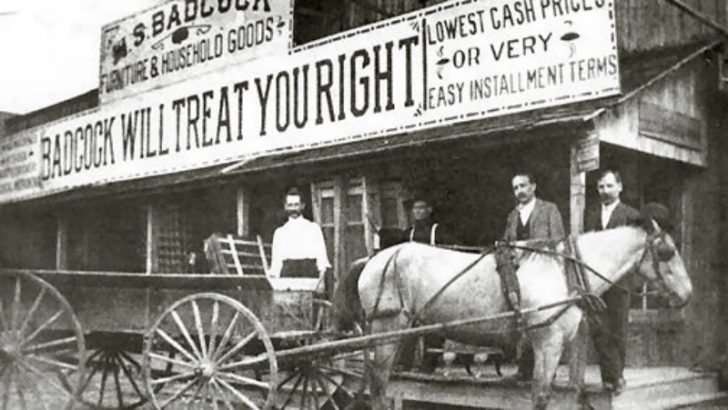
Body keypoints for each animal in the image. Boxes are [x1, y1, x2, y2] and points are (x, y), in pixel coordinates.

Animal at [350, 213, 692, 408]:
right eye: (667, 252)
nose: (688, 294)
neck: (564, 270)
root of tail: (375, 260)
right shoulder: (548, 343)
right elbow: (540, 396)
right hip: (386, 328)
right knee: (379, 384)